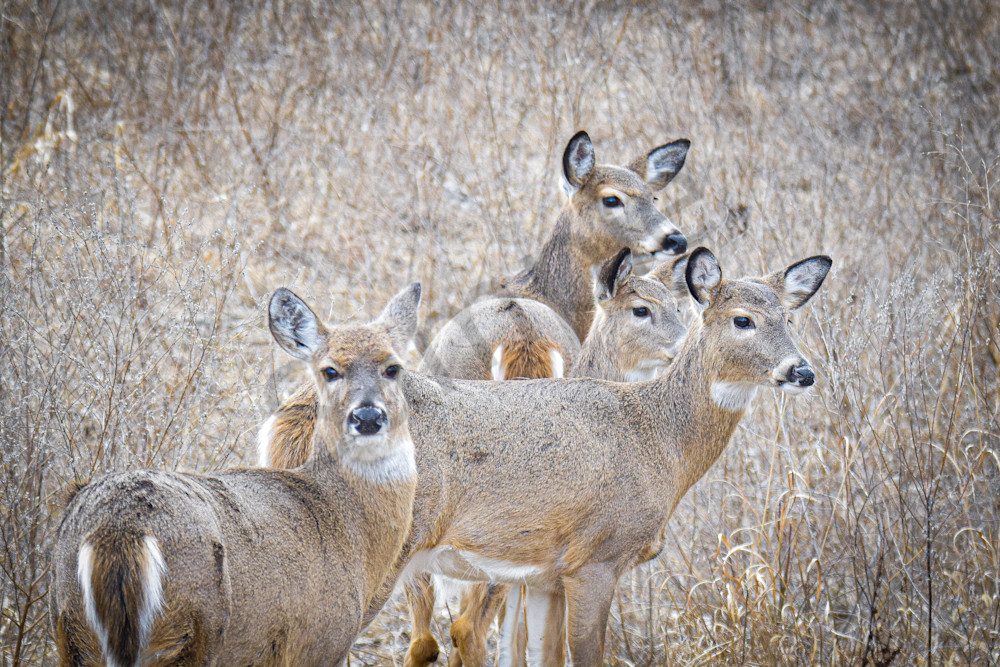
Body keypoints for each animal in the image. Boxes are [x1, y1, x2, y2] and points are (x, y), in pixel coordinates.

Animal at [49, 283, 422, 667]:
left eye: (393, 367)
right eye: (330, 370)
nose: (367, 416)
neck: (346, 517)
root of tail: (120, 531)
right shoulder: (320, 643)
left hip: (68, 626)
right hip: (190, 629)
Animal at [259, 247, 831, 666]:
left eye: (789, 316)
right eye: (743, 320)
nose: (802, 371)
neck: (656, 440)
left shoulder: (544, 576)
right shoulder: (595, 558)